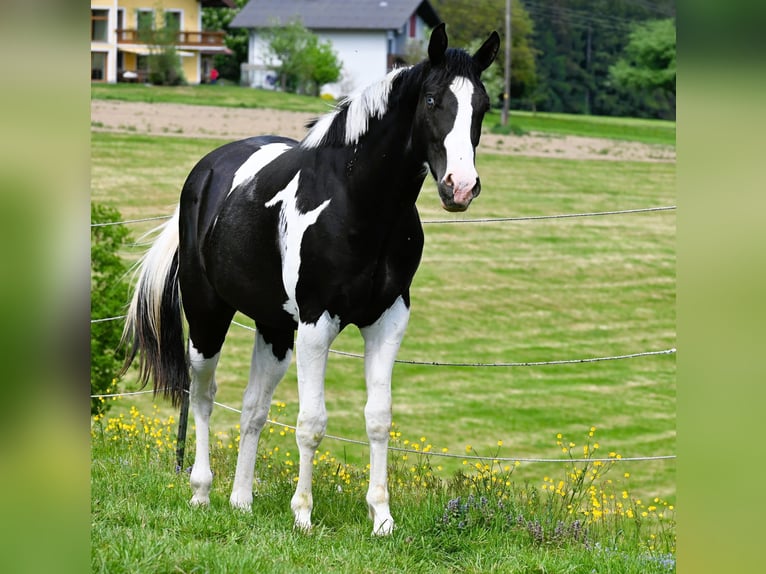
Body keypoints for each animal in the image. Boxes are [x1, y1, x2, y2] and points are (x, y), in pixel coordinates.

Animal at [121, 23, 499, 536]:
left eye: (483, 105)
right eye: (433, 100)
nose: (460, 187)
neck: (358, 202)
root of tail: (206, 172)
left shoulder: (388, 320)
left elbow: (378, 418)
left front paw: (381, 516)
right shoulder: (317, 323)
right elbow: (312, 422)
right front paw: (302, 513)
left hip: (274, 330)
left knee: (252, 408)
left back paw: (241, 500)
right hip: (207, 317)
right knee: (201, 396)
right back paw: (201, 490)